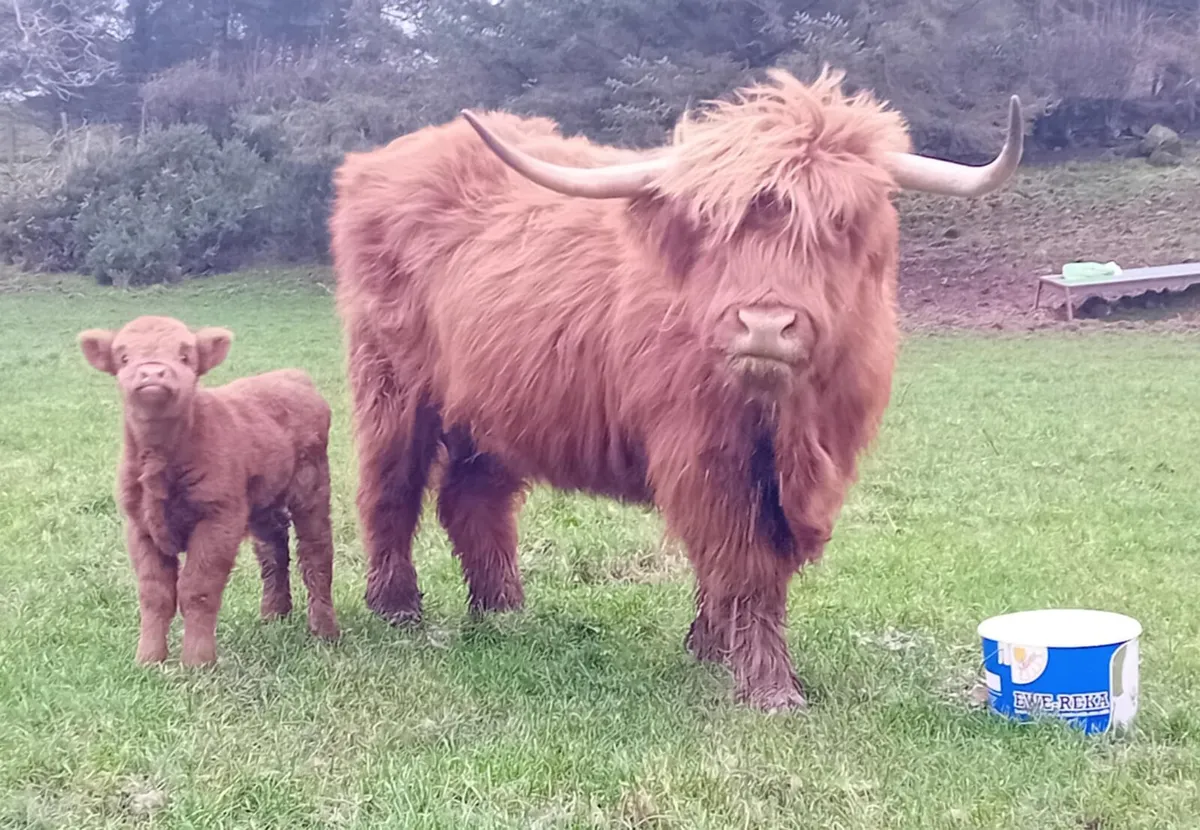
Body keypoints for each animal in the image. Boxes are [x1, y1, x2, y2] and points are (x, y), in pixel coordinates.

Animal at [329, 67, 1023, 710]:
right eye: (719, 227)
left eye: (839, 224)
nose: (764, 324)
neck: (789, 422)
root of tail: (379, 162)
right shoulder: (706, 455)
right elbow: (745, 565)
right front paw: (768, 687)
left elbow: (741, 567)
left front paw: (710, 647)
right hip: (392, 383)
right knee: (390, 487)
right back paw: (398, 609)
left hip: (493, 402)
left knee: (473, 498)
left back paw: (503, 612)